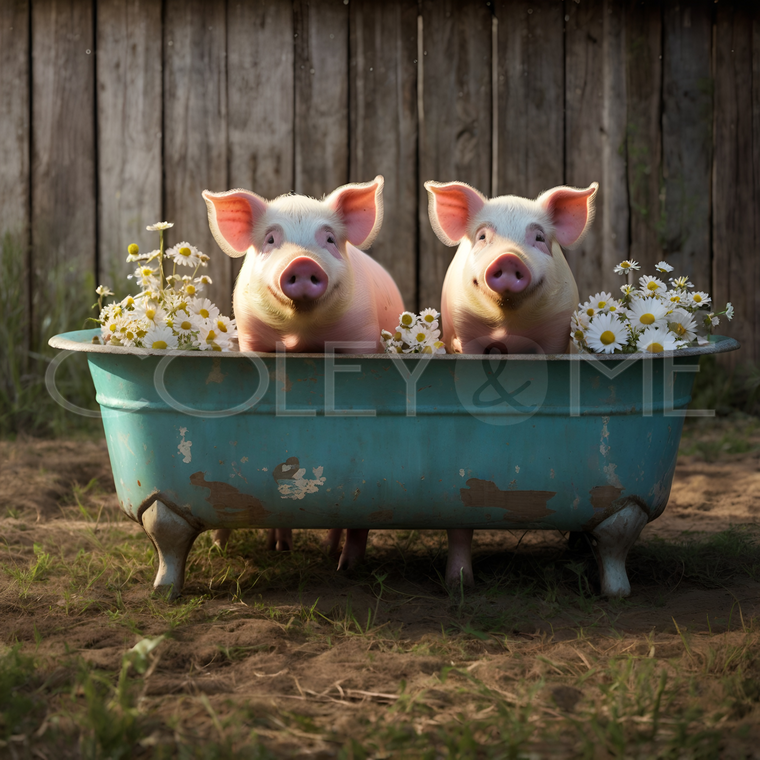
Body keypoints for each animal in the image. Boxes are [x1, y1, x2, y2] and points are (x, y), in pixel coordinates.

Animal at [202, 175, 404, 569]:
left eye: (329, 239)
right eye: (270, 239)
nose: (302, 263)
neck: (301, 335)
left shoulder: (361, 337)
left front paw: (346, 569)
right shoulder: (252, 338)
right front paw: (259, 548)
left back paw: (334, 558)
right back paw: (276, 548)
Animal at [424, 179, 598, 587]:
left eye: (538, 237)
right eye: (483, 236)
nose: (509, 259)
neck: (508, 324)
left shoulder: (555, 334)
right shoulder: (465, 334)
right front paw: (459, 586)